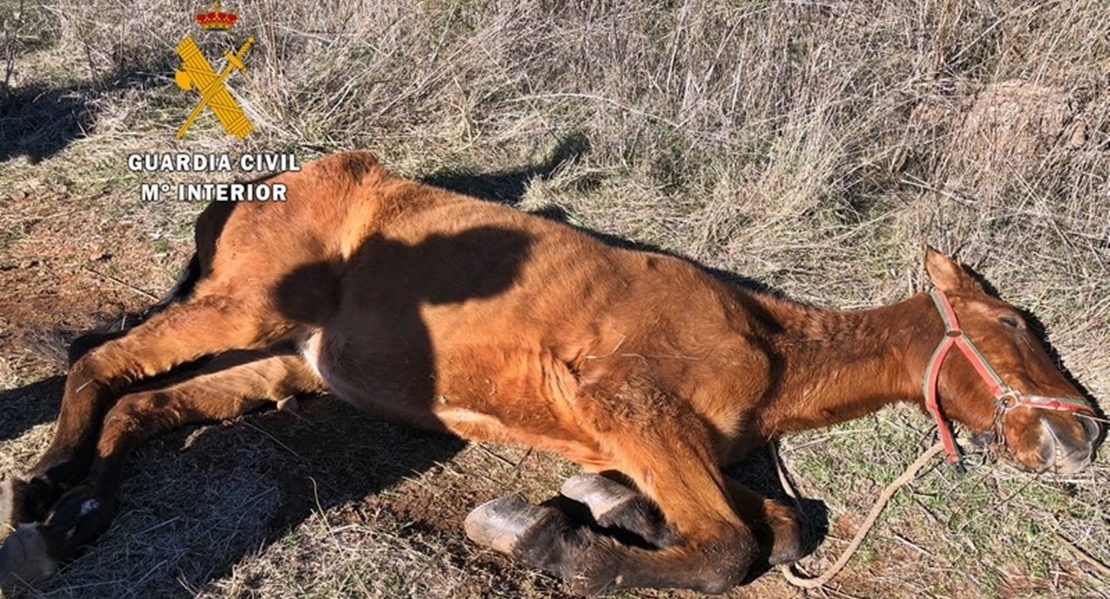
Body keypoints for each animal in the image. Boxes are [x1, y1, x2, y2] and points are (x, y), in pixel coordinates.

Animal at [0, 151, 1101, 590]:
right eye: (1013, 322)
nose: (1087, 427)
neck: (767, 341)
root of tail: (261, 180)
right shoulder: (628, 401)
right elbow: (731, 547)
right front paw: (550, 536)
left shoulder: (678, 446)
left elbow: (781, 524)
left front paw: (606, 505)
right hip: (247, 305)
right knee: (102, 360)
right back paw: (47, 487)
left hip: (290, 359)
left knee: (147, 403)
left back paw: (79, 513)